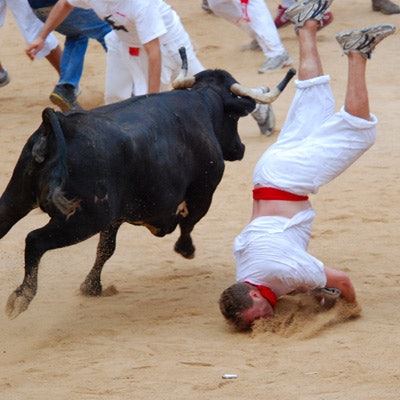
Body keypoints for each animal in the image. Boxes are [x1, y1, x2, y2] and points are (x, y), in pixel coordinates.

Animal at [0, 68, 294, 318]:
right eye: (233, 117)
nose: (240, 149)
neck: (203, 102)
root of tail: (59, 123)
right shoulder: (204, 191)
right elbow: (188, 222)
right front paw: (185, 248)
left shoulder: (116, 216)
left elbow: (106, 248)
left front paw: (91, 287)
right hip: (83, 219)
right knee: (34, 240)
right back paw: (21, 298)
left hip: (16, 198)